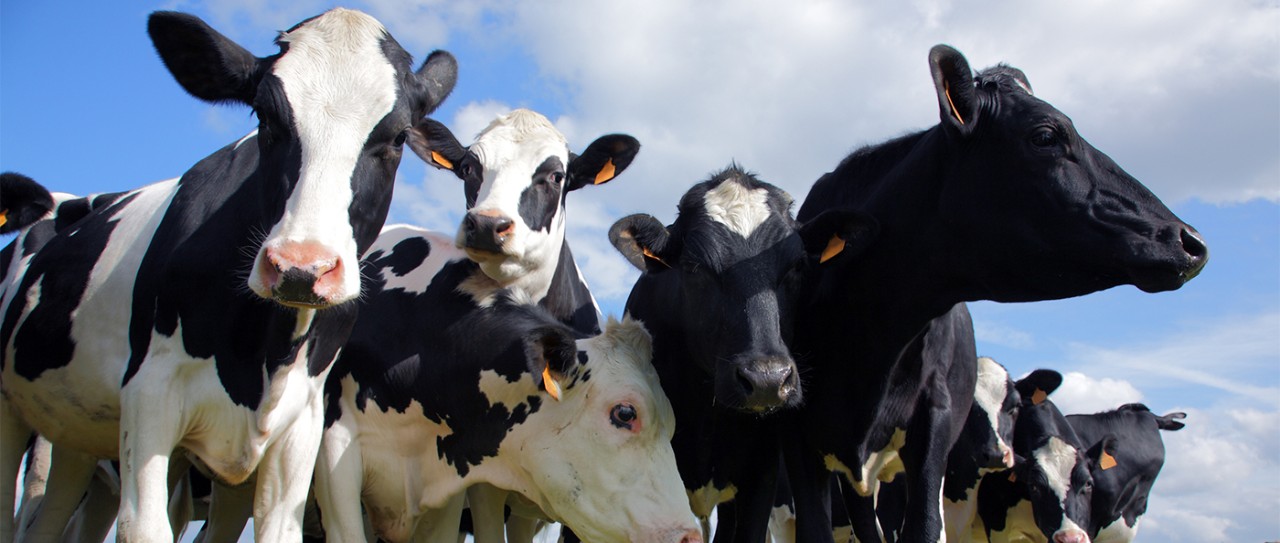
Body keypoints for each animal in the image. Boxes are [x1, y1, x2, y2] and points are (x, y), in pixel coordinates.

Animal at [0, 9, 457, 542]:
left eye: (398, 137)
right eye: (265, 118)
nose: (302, 267)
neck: (265, 355)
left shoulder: (302, 425)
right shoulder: (149, 397)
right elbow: (146, 524)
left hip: (75, 440)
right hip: (14, 413)